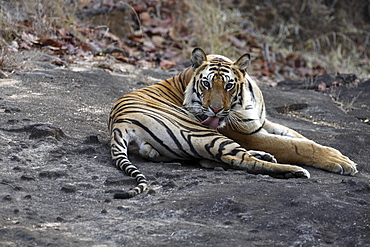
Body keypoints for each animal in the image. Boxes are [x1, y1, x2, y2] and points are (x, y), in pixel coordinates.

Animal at [108, 47, 356, 199]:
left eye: (228, 85)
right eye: (206, 84)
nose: (216, 109)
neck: (245, 102)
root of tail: (119, 124)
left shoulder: (262, 123)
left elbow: (300, 137)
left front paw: (336, 154)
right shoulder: (249, 135)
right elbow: (296, 146)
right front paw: (341, 161)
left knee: (215, 159)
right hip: (201, 132)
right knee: (241, 161)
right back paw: (293, 171)